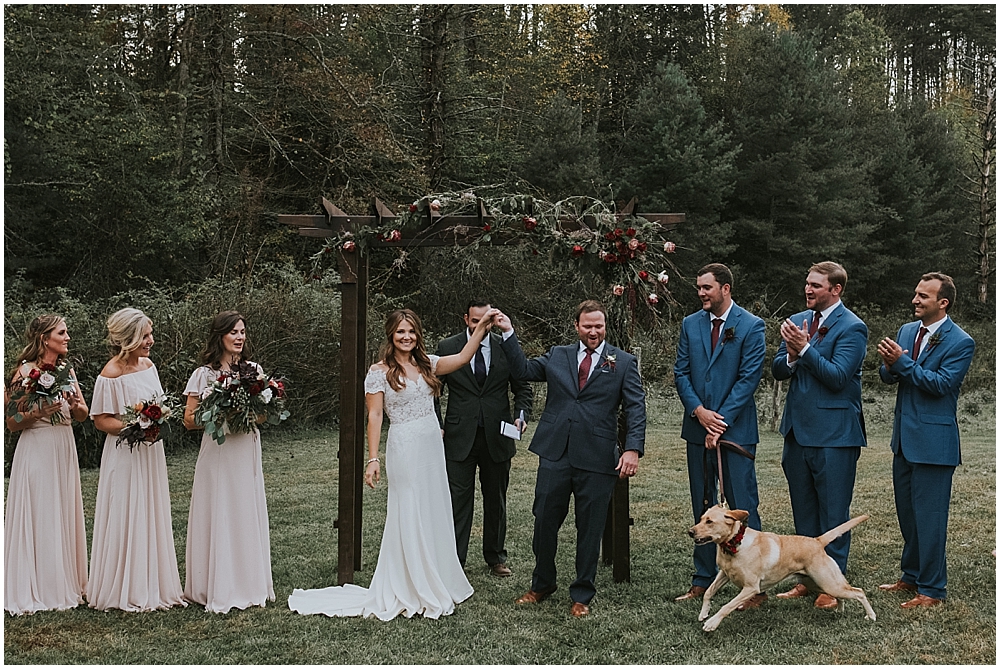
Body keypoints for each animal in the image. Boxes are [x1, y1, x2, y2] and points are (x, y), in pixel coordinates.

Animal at [688, 506, 876, 632]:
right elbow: (708, 592)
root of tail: (817, 541)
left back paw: (871, 616)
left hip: (828, 582)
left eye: (710, 521)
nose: (690, 532)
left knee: (859, 592)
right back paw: (839, 609)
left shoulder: (750, 588)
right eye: (701, 518)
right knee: (842, 595)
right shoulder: (724, 574)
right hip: (819, 584)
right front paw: (704, 613)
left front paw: (712, 623)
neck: (734, 545)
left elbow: (727, 606)